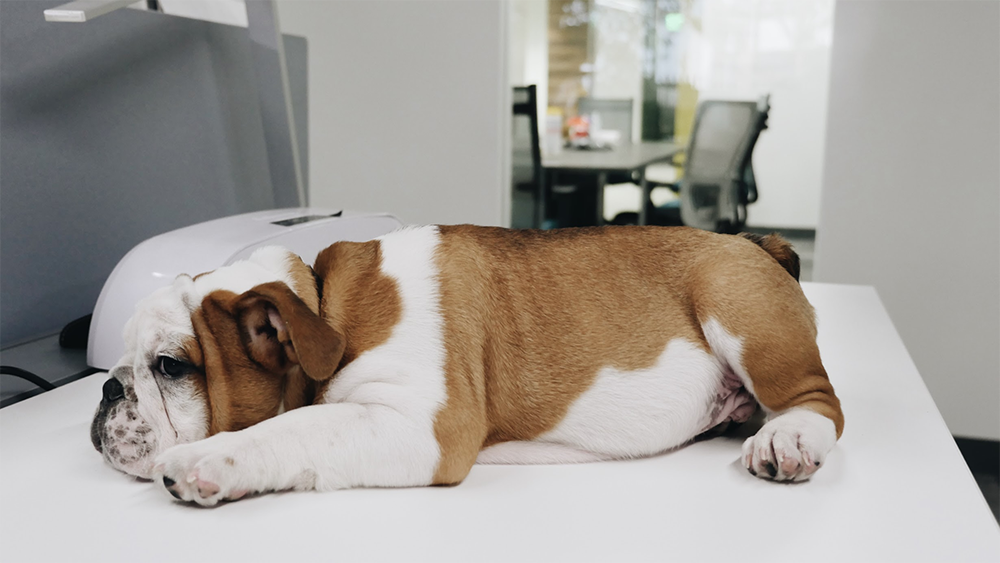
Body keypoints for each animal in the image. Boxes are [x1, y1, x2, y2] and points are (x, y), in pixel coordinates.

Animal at [92, 225, 844, 506]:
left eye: (170, 366)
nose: (105, 389)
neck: (325, 308)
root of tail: (753, 241)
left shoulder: (419, 426)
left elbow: (292, 429)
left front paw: (209, 461)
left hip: (735, 300)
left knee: (821, 401)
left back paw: (788, 437)